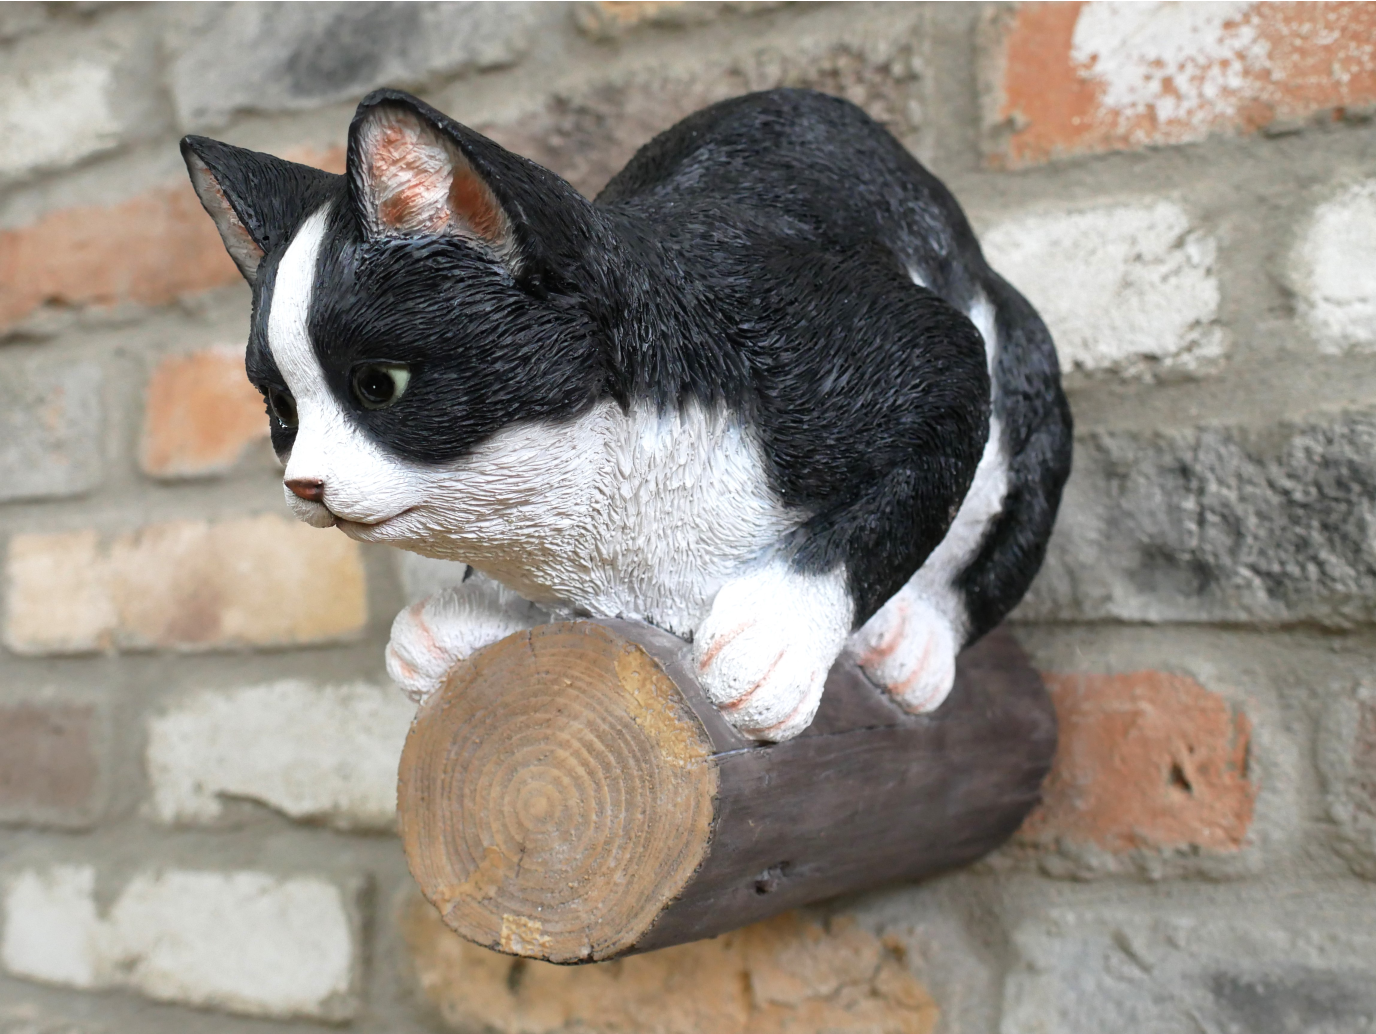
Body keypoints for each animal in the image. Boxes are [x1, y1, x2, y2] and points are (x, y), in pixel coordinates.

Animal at [183, 85, 1067, 737]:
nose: (304, 484)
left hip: (1022, 364)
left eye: (381, 386)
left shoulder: (894, 358)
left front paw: (777, 638)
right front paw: (479, 611)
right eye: (282, 413)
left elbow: (895, 496)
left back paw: (913, 637)